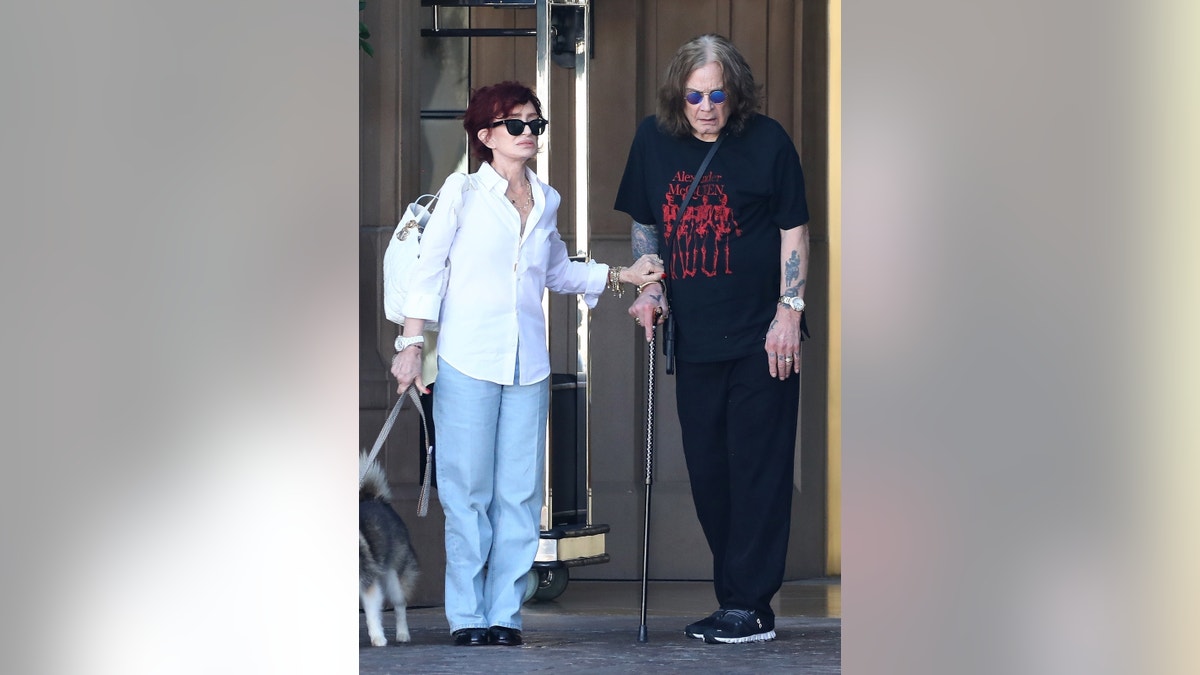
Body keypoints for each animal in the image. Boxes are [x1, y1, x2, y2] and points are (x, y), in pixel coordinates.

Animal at [357, 449, 420, 643]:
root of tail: (377, 499)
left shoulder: (367, 581)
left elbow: (372, 614)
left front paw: (378, 637)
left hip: (394, 577)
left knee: (400, 605)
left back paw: (402, 633)